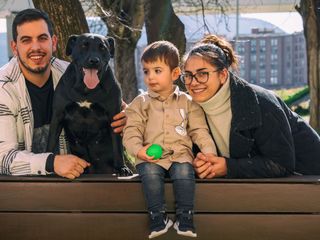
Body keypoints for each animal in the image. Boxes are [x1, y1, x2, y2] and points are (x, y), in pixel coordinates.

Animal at [47, 33, 132, 176]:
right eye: (83, 46)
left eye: (102, 47)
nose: (94, 60)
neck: (86, 90)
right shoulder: (58, 115)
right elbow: (51, 140)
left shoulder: (114, 116)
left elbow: (117, 146)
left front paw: (122, 167)